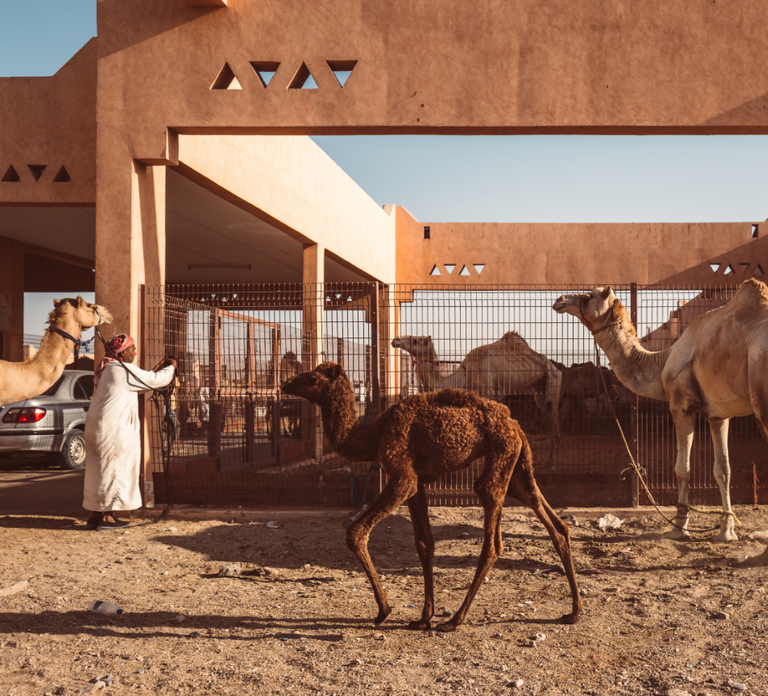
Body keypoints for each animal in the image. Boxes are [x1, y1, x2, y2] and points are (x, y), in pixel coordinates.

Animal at [282, 362, 582, 631]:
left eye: (311, 377)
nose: (286, 383)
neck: (373, 434)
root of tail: (515, 423)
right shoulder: (417, 484)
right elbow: (425, 544)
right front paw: (423, 617)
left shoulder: (402, 476)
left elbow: (355, 533)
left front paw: (384, 611)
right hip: (517, 465)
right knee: (553, 521)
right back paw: (574, 611)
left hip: (500, 455)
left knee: (493, 538)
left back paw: (455, 619)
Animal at [391, 333, 562, 465]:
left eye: (416, 340)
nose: (395, 339)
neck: (465, 374)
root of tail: (554, 366)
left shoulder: (488, 392)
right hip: (539, 390)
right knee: (545, 411)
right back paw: (548, 461)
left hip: (552, 379)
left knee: (554, 415)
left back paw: (552, 464)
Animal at [553, 280, 768, 544]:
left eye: (586, 298)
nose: (559, 300)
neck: (663, 360)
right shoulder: (718, 413)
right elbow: (723, 470)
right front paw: (726, 531)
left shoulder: (680, 405)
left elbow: (682, 468)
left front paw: (679, 527)